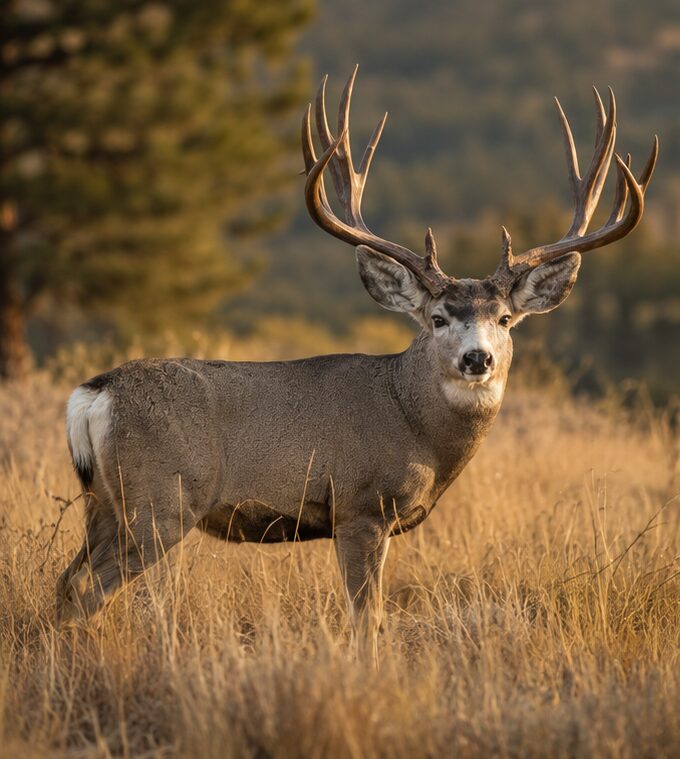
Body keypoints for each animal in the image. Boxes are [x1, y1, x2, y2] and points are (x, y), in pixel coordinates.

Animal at [57, 68, 657, 660]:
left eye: (506, 318)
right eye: (438, 317)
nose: (477, 357)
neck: (414, 425)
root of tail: (95, 392)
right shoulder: (361, 507)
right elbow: (366, 620)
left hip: (103, 503)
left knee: (66, 582)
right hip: (160, 502)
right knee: (89, 590)